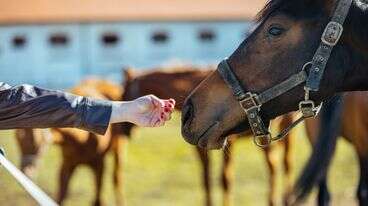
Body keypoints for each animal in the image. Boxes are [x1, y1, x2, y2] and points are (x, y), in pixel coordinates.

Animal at [122, 67, 294, 205]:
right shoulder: (201, 148)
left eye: (124, 93)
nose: (124, 131)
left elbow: (225, 179)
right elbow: (205, 178)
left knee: (277, 166)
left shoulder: (228, 142)